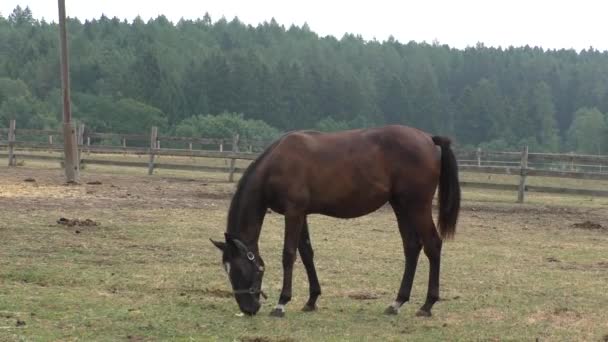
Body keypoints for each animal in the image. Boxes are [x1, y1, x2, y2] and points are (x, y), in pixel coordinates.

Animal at [210, 125, 460, 318]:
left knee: (432, 245)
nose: (248, 308)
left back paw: (427, 305)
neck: (277, 163)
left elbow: (289, 254)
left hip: (417, 206)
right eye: (227, 270)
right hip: (401, 205)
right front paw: (311, 300)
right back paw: (397, 302)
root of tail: (429, 139)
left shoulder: (293, 212)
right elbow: (306, 253)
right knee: (411, 247)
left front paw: (281, 303)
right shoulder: (302, 213)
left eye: (239, 270)